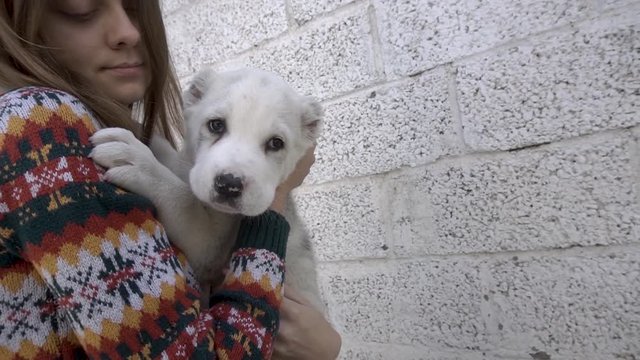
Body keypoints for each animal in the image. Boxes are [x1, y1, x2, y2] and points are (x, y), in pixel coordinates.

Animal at [90, 69, 324, 310]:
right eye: (216, 125)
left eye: (276, 143)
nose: (229, 184)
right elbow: (171, 156)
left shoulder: (211, 248)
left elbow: (183, 200)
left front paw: (139, 161)